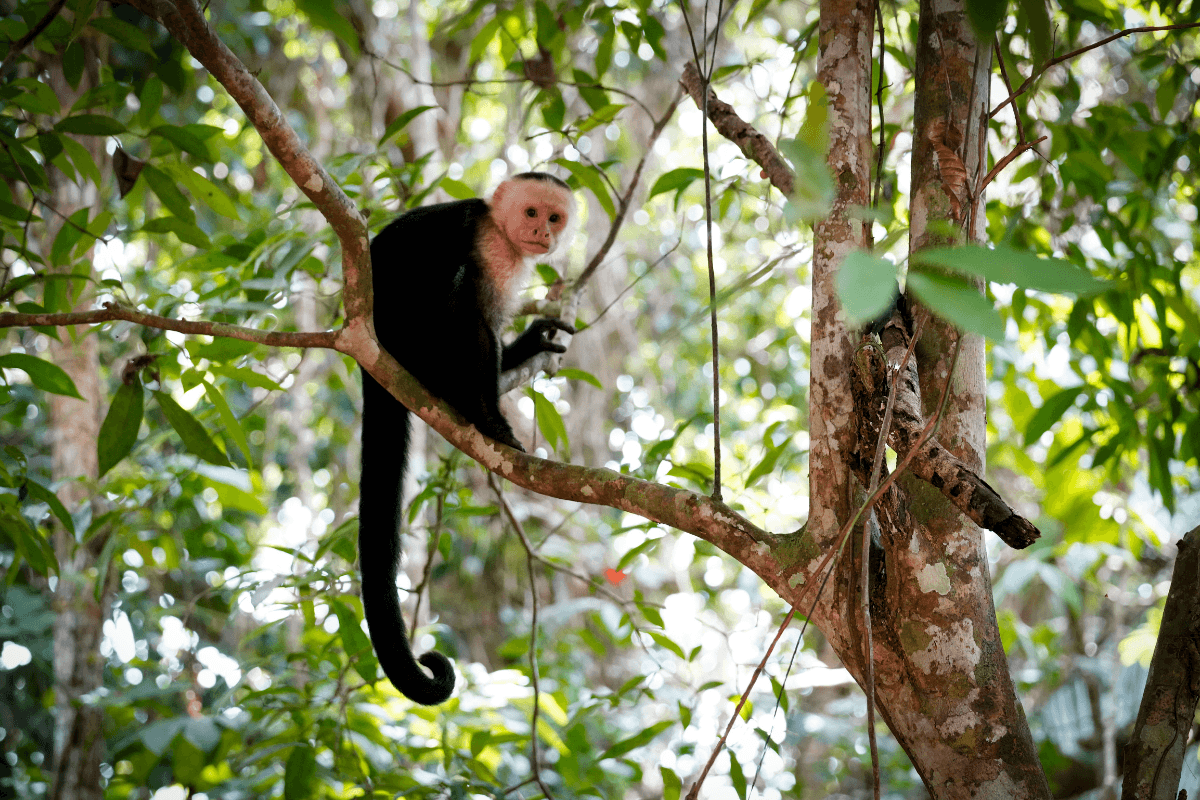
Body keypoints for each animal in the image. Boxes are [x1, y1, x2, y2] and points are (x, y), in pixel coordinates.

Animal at [358, 172, 576, 705]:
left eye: (554, 217)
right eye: (531, 213)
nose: (541, 233)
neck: (501, 230)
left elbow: (494, 327)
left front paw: (527, 345)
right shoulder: (492, 248)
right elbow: (476, 320)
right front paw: (491, 419)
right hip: (409, 338)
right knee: (453, 288)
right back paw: (459, 397)